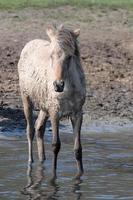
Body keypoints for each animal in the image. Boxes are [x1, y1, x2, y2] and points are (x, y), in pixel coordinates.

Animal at [17, 25, 85, 178]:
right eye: (51, 55)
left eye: (70, 56)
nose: (58, 85)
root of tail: (28, 44)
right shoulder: (55, 112)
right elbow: (56, 145)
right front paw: (53, 176)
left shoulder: (77, 114)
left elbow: (78, 148)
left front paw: (80, 175)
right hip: (26, 98)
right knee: (30, 129)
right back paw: (30, 162)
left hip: (44, 107)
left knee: (39, 127)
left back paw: (42, 160)